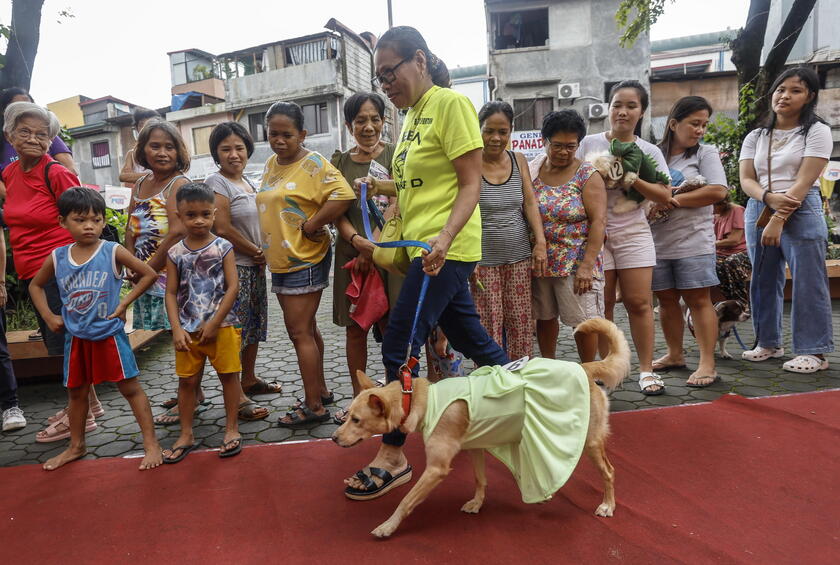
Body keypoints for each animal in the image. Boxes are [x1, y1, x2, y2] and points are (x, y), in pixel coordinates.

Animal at [332, 318, 628, 536]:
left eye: (356, 420)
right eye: (349, 417)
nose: (334, 438)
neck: (419, 399)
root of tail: (583, 368)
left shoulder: (436, 468)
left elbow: (406, 500)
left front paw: (388, 526)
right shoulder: (475, 447)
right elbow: (480, 479)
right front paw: (477, 503)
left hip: (590, 440)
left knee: (610, 472)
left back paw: (607, 505)